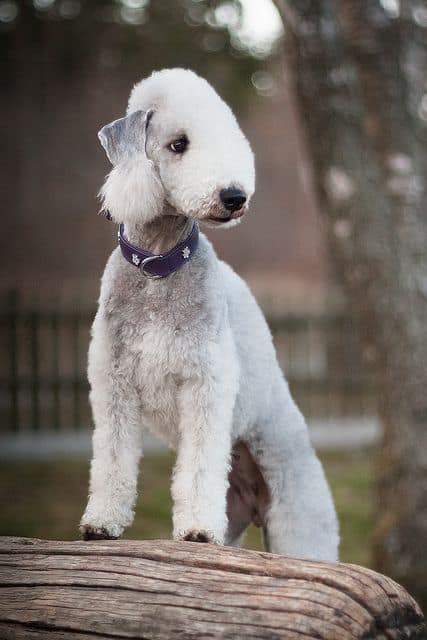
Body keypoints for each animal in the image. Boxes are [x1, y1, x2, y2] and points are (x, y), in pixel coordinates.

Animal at [81, 70, 342, 560]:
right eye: (178, 144)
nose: (234, 196)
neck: (160, 267)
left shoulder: (205, 381)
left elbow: (200, 463)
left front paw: (198, 530)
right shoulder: (113, 383)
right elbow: (112, 458)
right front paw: (101, 523)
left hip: (297, 507)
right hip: (239, 516)